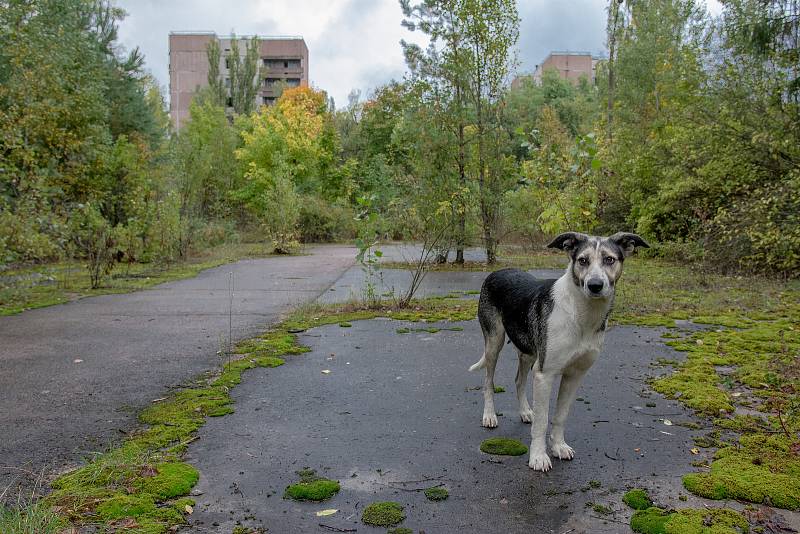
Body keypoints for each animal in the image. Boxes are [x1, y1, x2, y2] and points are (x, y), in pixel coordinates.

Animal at [468, 232, 648, 472]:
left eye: (609, 259)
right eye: (582, 260)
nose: (595, 285)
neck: (581, 315)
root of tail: (497, 271)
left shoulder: (574, 376)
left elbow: (560, 415)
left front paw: (558, 446)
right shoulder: (545, 375)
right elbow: (542, 421)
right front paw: (538, 456)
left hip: (528, 352)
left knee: (519, 381)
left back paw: (525, 412)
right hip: (494, 344)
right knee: (488, 381)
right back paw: (489, 416)